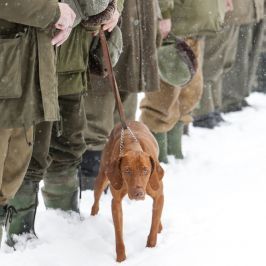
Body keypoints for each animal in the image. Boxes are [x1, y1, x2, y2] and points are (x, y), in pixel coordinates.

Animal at [91, 120, 164, 262]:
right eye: (127, 171)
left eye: (145, 170)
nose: (138, 194)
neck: (134, 148)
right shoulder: (116, 203)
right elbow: (118, 233)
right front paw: (121, 258)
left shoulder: (159, 195)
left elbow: (153, 225)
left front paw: (150, 248)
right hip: (103, 176)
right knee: (96, 201)